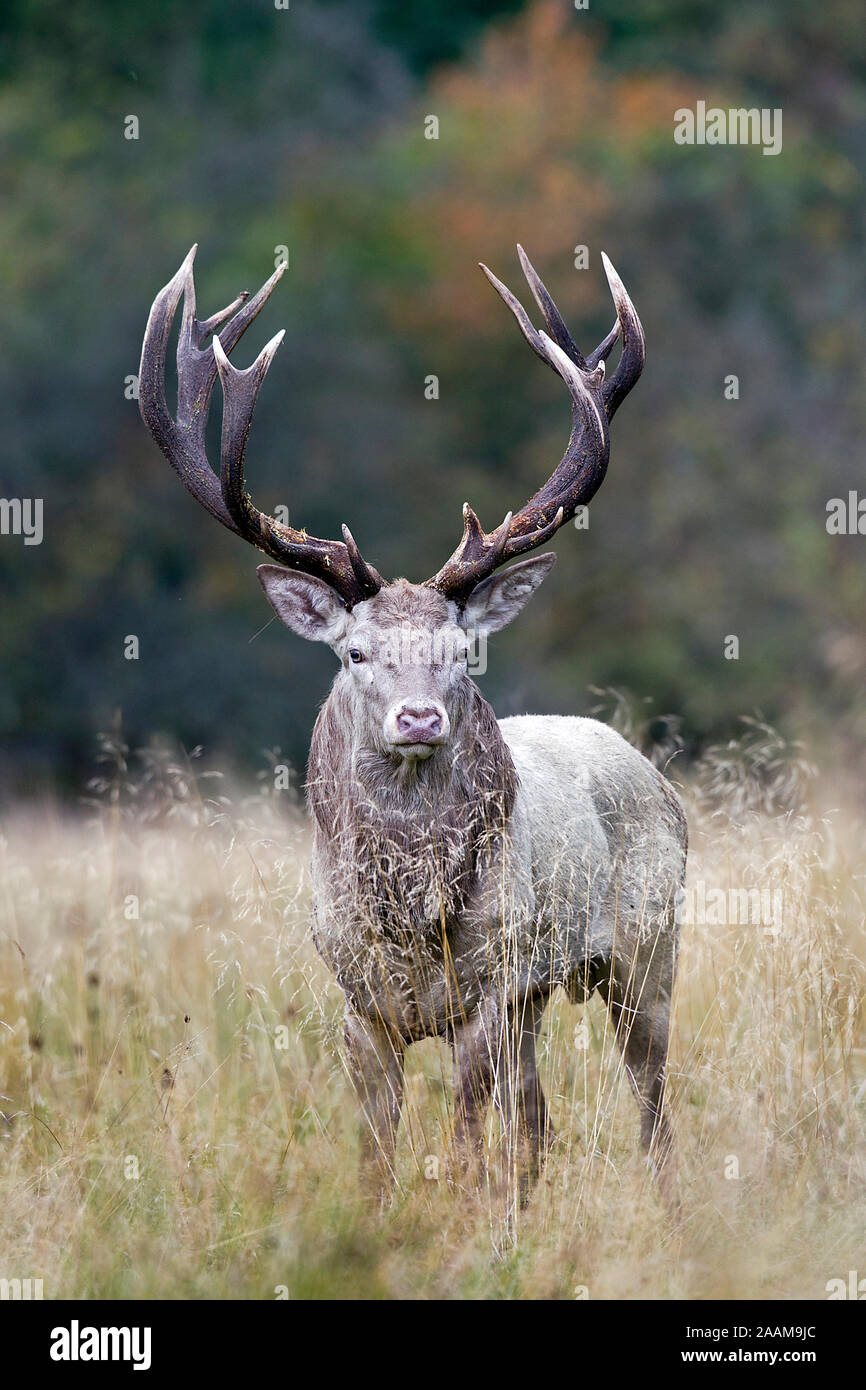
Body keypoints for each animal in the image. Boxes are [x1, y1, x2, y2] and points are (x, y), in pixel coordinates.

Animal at [139, 241, 686, 1206]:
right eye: (355, 652)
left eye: (463, 650)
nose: (420, 716)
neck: (406, 921)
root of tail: (657, 778)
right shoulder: (356, 1001)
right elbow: (377, 1152)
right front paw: (381, 1220)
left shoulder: (486, 988)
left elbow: (465, 1142)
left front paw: (462, 1218)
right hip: (540, 992)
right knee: (538, 1118)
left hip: (648, 953)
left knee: (652, 1111)